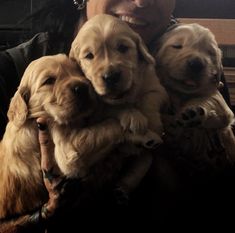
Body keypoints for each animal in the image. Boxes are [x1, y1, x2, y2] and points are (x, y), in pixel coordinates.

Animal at [69, 13, 168, 198]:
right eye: (89, 56)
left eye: (123, 48)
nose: (111, 76)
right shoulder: (96, 109)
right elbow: (113, 107)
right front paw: (134, 117)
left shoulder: (156, 86)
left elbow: (148, 99)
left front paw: (151, 123)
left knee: (144, 160)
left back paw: (124, 186)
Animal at [154, 23, 235, 173]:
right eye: (177, 46)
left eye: (210, 53)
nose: (196, 64)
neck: (181, 93)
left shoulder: (219, 102)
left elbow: (208, 100)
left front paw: (192, 112)